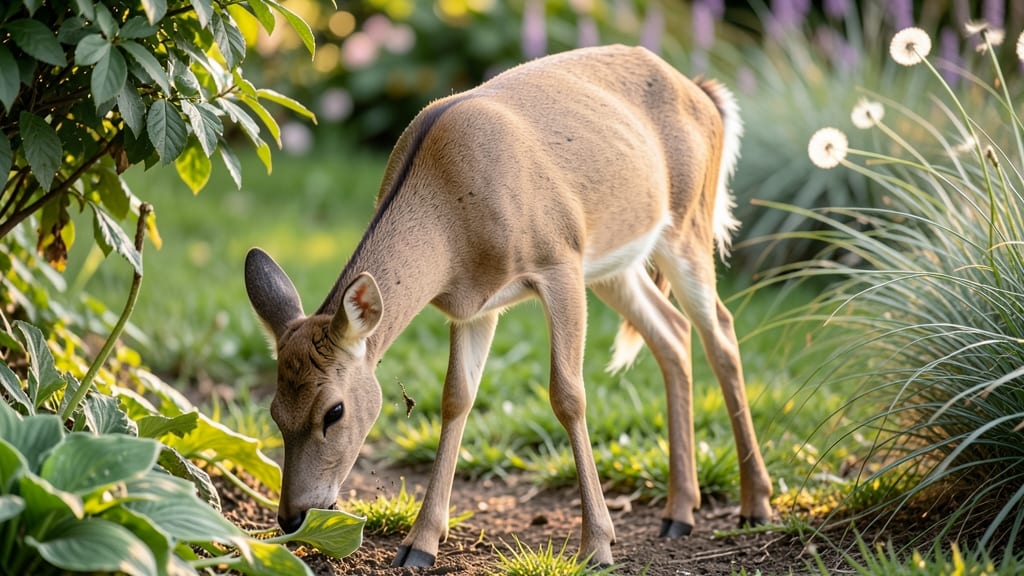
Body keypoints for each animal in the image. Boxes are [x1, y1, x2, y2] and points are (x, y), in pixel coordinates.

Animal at [243, 44, 773, 567]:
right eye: (274, 412)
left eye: (333, 411)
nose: (292, 517)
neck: (452, 225)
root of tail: (704, 93)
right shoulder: (473, 306)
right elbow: (455, 397)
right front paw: (420, 544)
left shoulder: (559, 259)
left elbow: (568, 395)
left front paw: (598, 546)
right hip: (616, 262)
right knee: (673, 333)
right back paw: (679, 513)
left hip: (688, 222)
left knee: (721, 333)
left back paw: (755, 505)